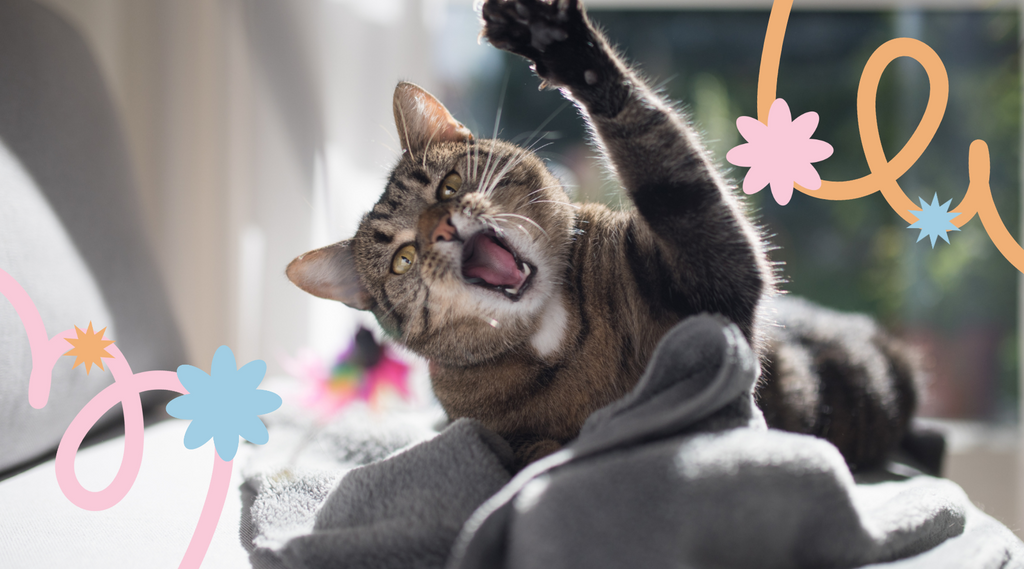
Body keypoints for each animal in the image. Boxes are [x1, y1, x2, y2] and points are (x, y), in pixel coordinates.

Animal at [286, 0, 921, 470]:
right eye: (402, 260)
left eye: (448, 185)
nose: (441, 225)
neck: (551, 329)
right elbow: (538, 454)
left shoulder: (711, 283)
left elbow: (664, 162)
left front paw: (564, 48)